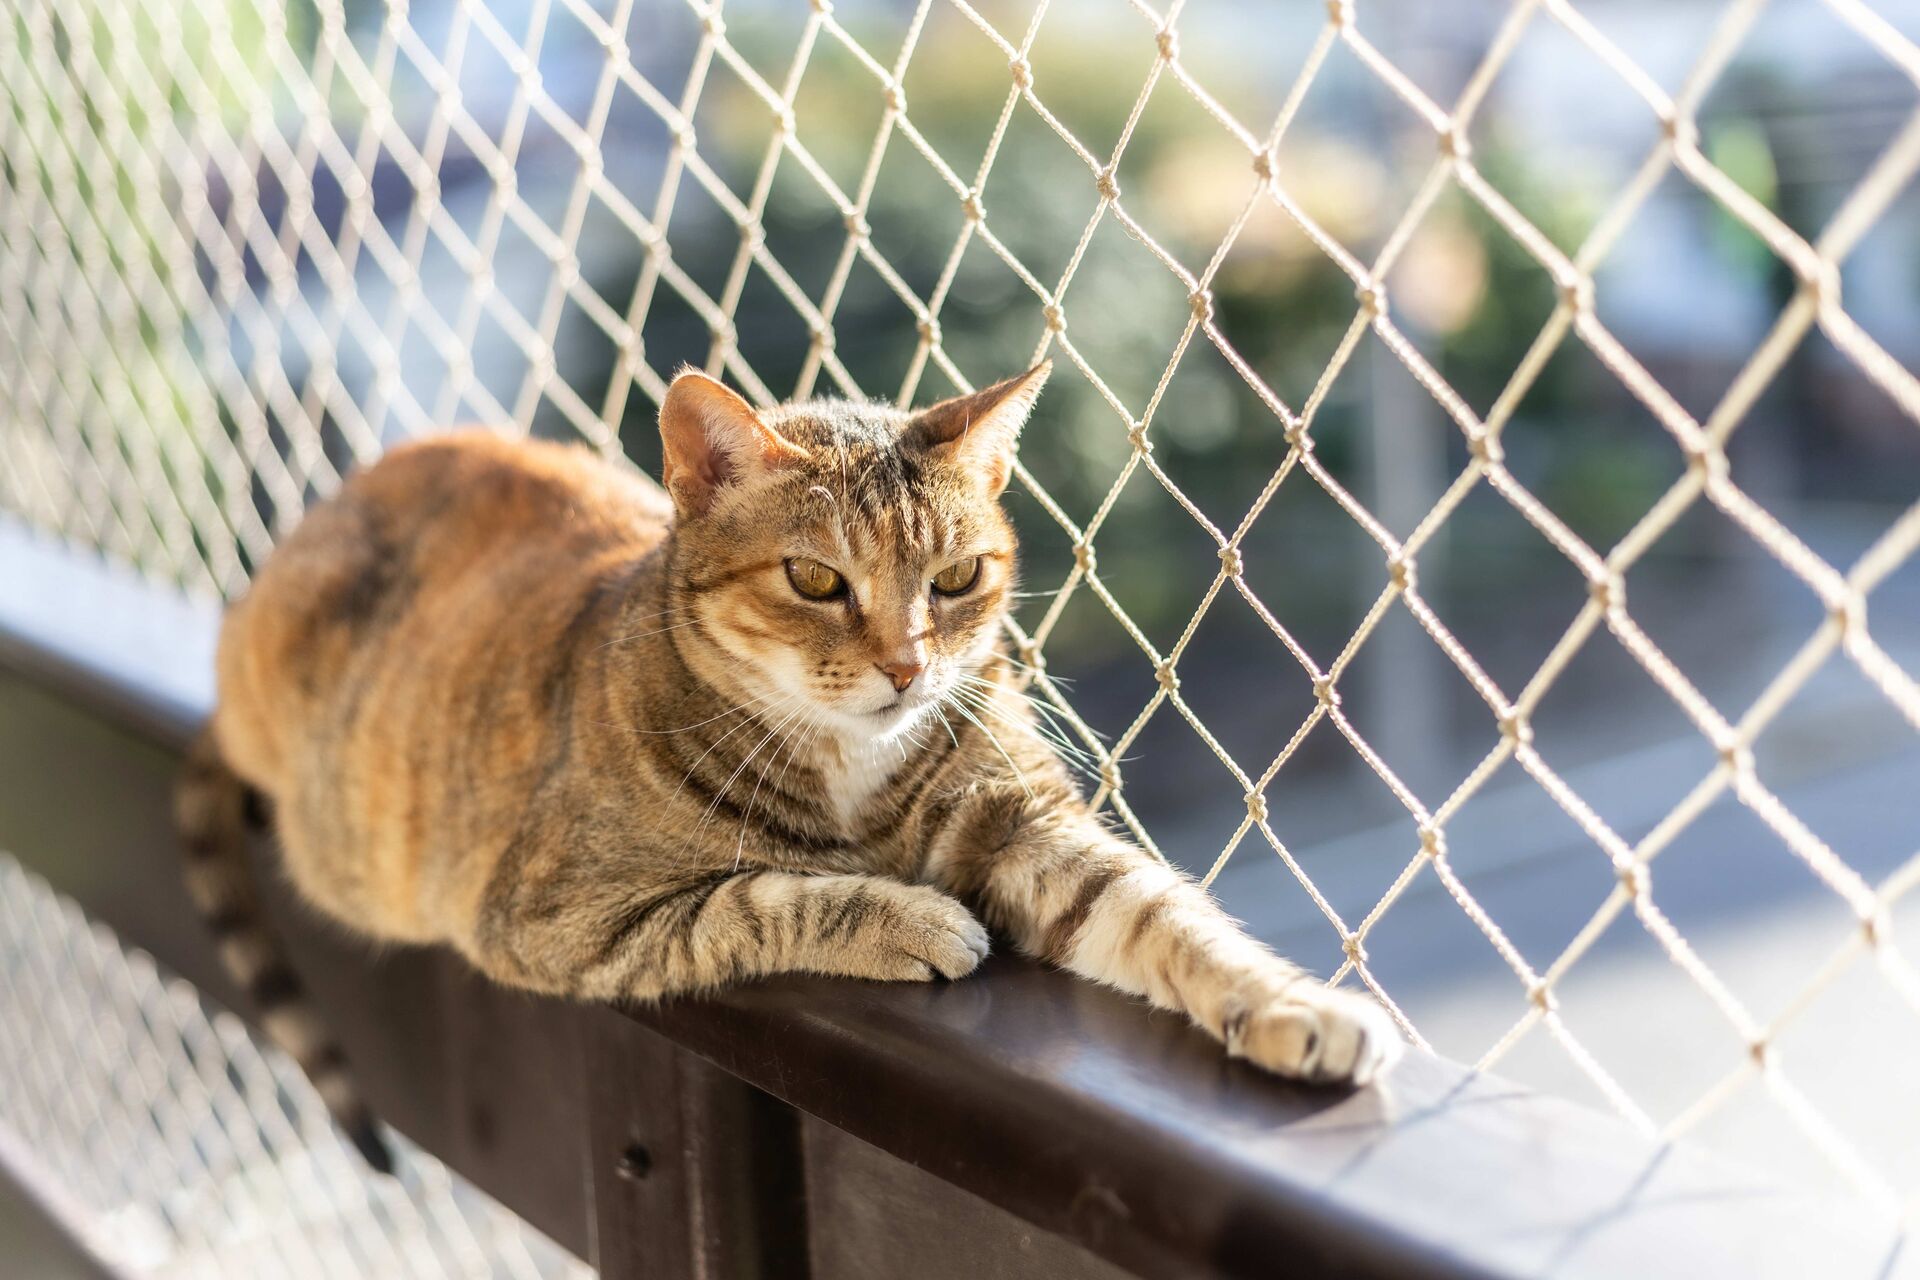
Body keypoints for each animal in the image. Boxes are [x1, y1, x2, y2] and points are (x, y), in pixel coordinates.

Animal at [176, 362, 1413, 1174]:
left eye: (957, 576)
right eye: (817, 580)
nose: (910, 666)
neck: (851, 762)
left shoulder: (1020, 817)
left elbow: (1164, 913)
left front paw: (1290, 1001)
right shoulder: (559, 913)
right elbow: (760, 895)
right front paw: (907, 917)